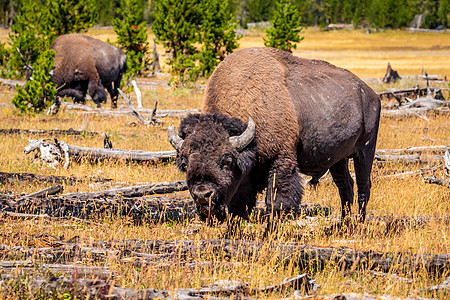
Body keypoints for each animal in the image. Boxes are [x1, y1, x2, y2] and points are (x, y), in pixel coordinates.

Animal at [168, 47, 380, 223]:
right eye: (185, 163)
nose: (203, 195)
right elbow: (239, 206)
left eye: (227, 160)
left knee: (363, 186)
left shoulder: (281, 160)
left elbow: (275, 202)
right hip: (338, 159)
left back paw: (359, 223)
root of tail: (370, 93)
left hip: (365, 150)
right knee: (345, 187)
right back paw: (343, 224)